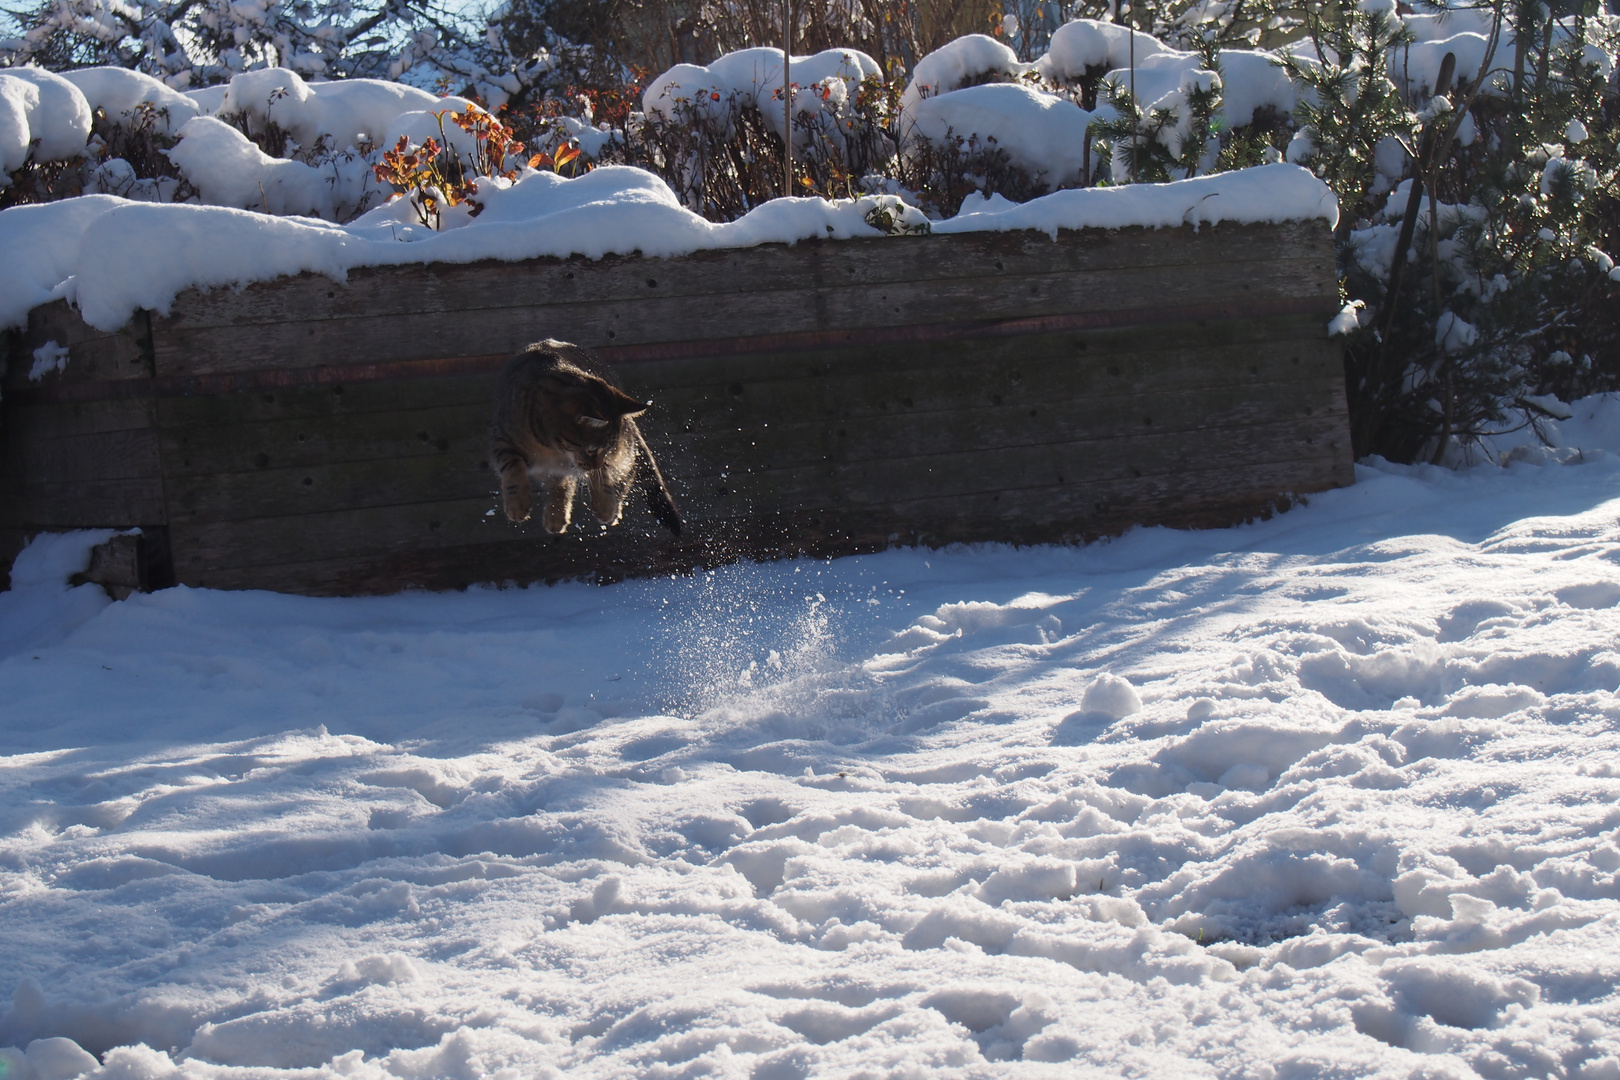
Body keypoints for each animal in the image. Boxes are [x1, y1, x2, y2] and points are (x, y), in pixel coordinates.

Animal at [482, 341, 680, 537]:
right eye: (591, 449)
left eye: (604, 449)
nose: (595, 464)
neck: (552, 448)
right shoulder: (503, 440)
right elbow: (514, 468)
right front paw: (517, 504)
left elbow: (601, 476)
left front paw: (605, 505)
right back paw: (556, 515)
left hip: (624, 449)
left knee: (629, 470)